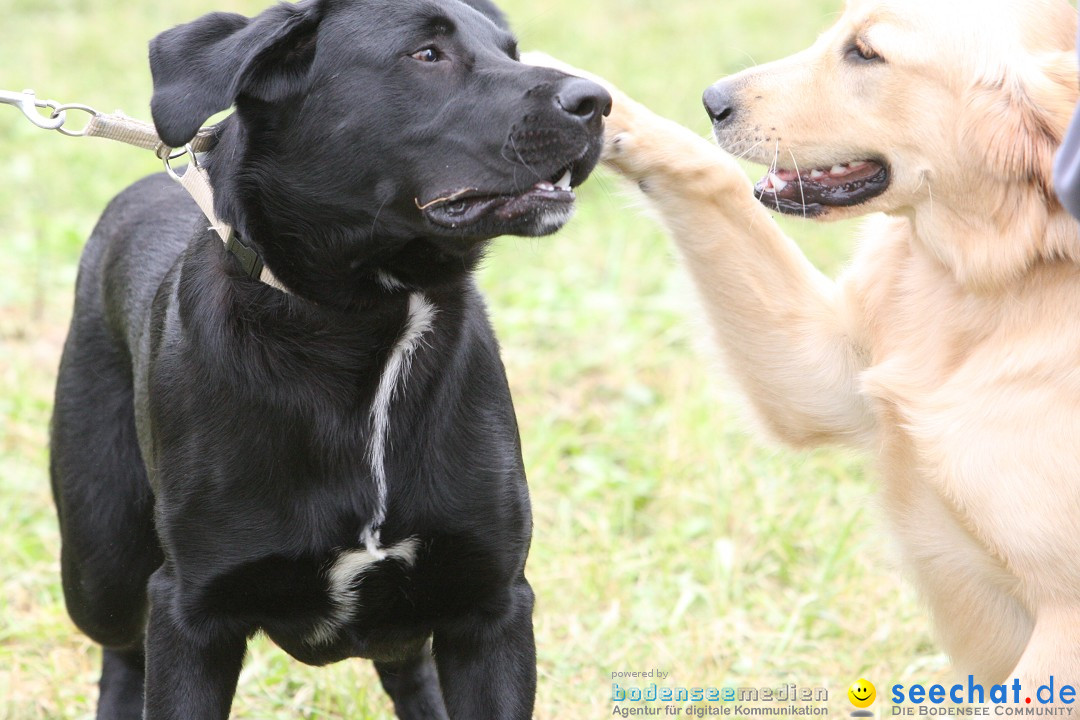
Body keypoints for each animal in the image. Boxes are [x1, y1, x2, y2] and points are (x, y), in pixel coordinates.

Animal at [48, 0, 609, 716]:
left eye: (511, 51)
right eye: (426, 54)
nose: (597, 102)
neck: (367, 326)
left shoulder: (491, 605)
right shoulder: (190, 613)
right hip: (103, 565)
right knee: (122, 651)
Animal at [533, 0, 1080, 686]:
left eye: (866, 53)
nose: (713, 101)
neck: (994, 271)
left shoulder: (1064, 633)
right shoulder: (823, 378)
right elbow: (714, 177)